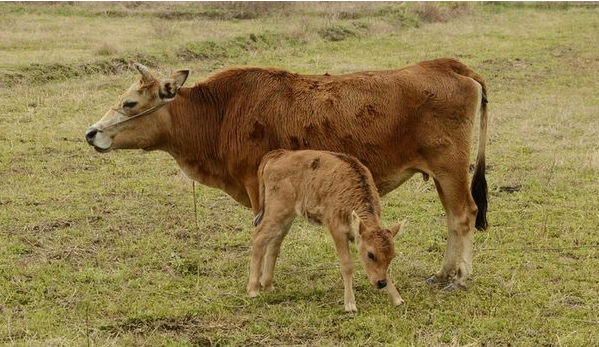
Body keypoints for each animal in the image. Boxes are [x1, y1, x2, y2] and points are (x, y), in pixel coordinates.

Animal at [84, 58, 488, 290]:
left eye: (129, 103)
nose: (91, 133)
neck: (219, 112)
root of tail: (452, 66)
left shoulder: (259, 189)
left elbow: (268, 235)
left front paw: (261, 283)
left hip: (450, 169)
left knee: (464, 214)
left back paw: (461, 277)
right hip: (441, 174)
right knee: (452, 218)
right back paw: (443, 273)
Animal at [246, 150, 406, 312]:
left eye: (392, 256)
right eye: (370, 254)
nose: (381, 283)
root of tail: (277, 155)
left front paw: (397, 299)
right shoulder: (337, 231)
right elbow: (347, 265)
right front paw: (350, 305)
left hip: (286, 218)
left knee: (274, 243)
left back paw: (268, 285)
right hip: (277, 211)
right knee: (259, 236)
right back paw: (253, 290)